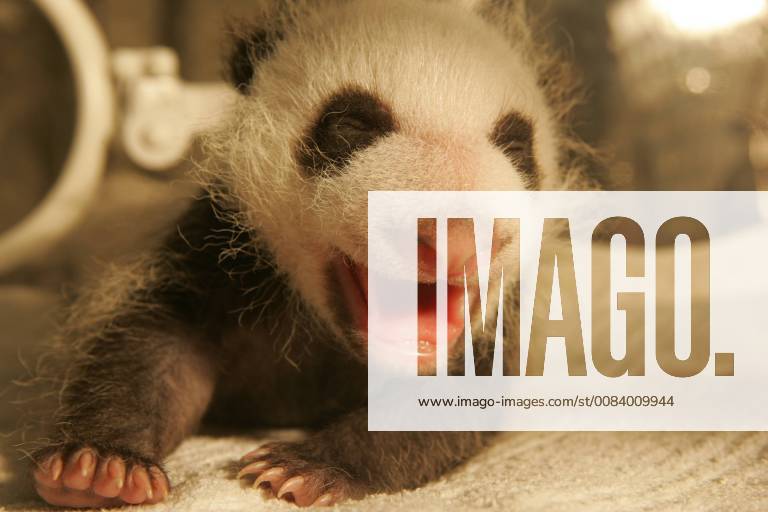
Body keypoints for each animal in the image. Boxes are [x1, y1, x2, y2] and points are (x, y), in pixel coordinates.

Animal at [30, 0, 587, 507]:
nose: (458, 236)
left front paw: (303, 466)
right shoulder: (226, 250)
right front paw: (101, 465)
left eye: (516, 146)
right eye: (351, 126)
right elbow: (158, 350)